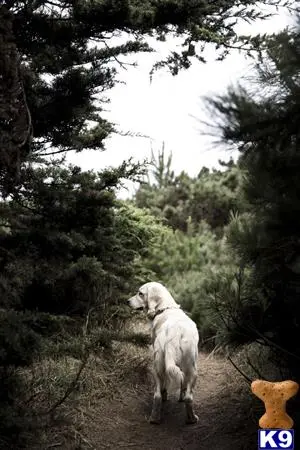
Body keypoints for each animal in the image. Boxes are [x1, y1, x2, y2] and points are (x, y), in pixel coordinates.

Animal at [126, 282, 199, 426]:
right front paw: (180, 397)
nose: (127, 301)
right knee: (187, 397)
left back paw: (155, 418)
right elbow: (182, 386)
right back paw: (191, 419)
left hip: (159, 366)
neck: (165, 308)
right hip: (191, 369)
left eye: (140, 293)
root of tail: (174, 332)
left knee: (158, 395)